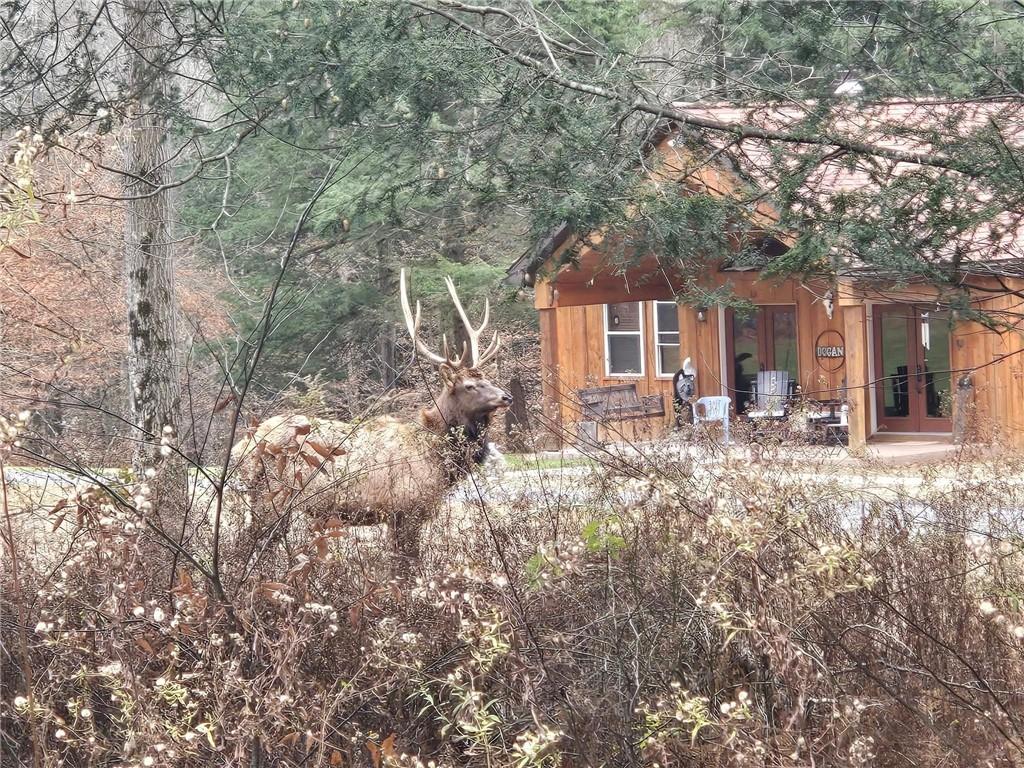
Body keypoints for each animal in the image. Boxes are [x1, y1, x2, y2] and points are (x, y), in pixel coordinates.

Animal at [229, 269, 512, 559]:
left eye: (486, 378)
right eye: (469, 386)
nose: (506, 397)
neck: (437, 458)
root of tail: (243, 446)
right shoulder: (405, 508)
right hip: (273, 497)